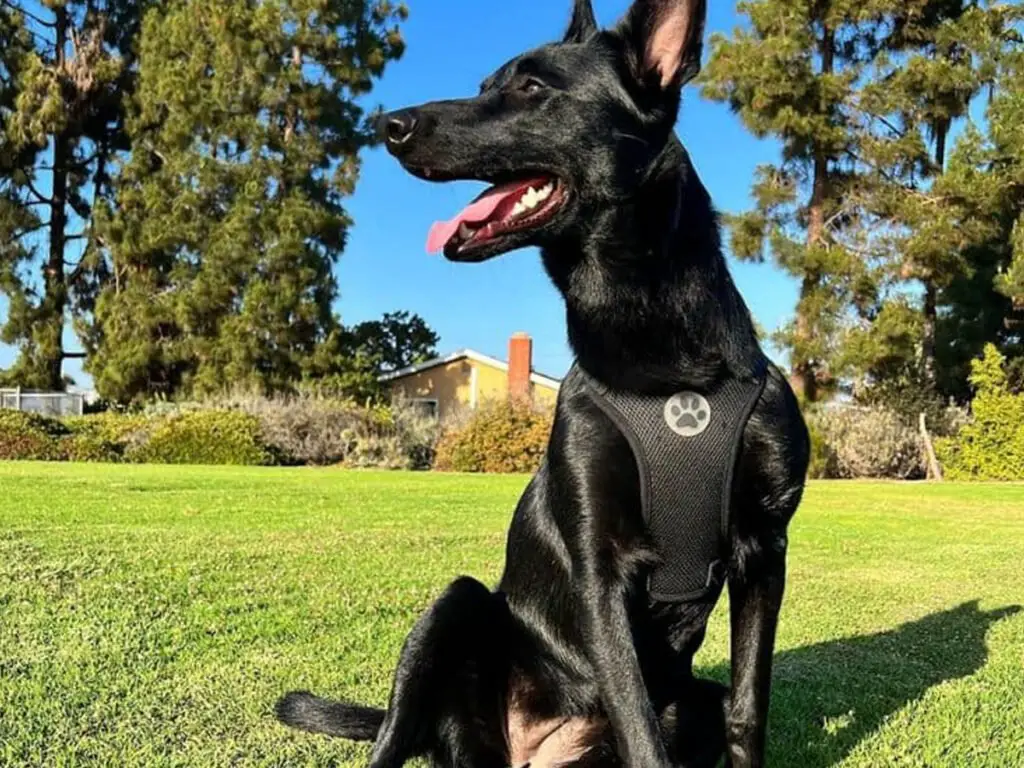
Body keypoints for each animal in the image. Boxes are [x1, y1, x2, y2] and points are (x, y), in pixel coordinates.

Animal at [278, 3, 806, 765]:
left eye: (531, 88)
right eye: (485, 84)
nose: (389, 125)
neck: (667, 367)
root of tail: (532, 753)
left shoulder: (764, 555)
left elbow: (746, 709)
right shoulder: (598, 567)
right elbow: (637, 720)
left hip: (685, 699)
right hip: (454, 607)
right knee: (394, 733)